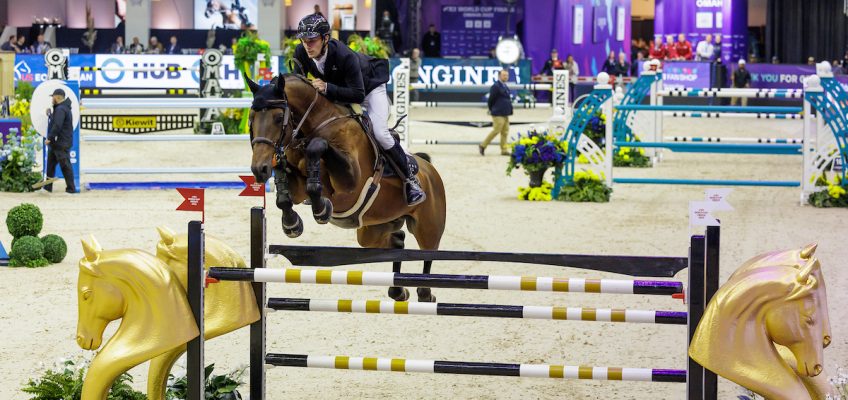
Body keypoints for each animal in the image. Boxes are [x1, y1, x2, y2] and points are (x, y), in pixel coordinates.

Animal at [247, 73, 450, 302]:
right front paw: (292, 223)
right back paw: (398, 291)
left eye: (278, 118)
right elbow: (285, 198)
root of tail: (430, 169)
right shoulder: (298, 188)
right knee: (397, 241)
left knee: (429, 252)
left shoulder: (350, 182)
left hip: (427, 225)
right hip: (374, 229)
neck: (315, 125)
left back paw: (425, 293)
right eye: (251, 118)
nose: (260, 169)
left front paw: (321, 210)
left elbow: (318, 147)